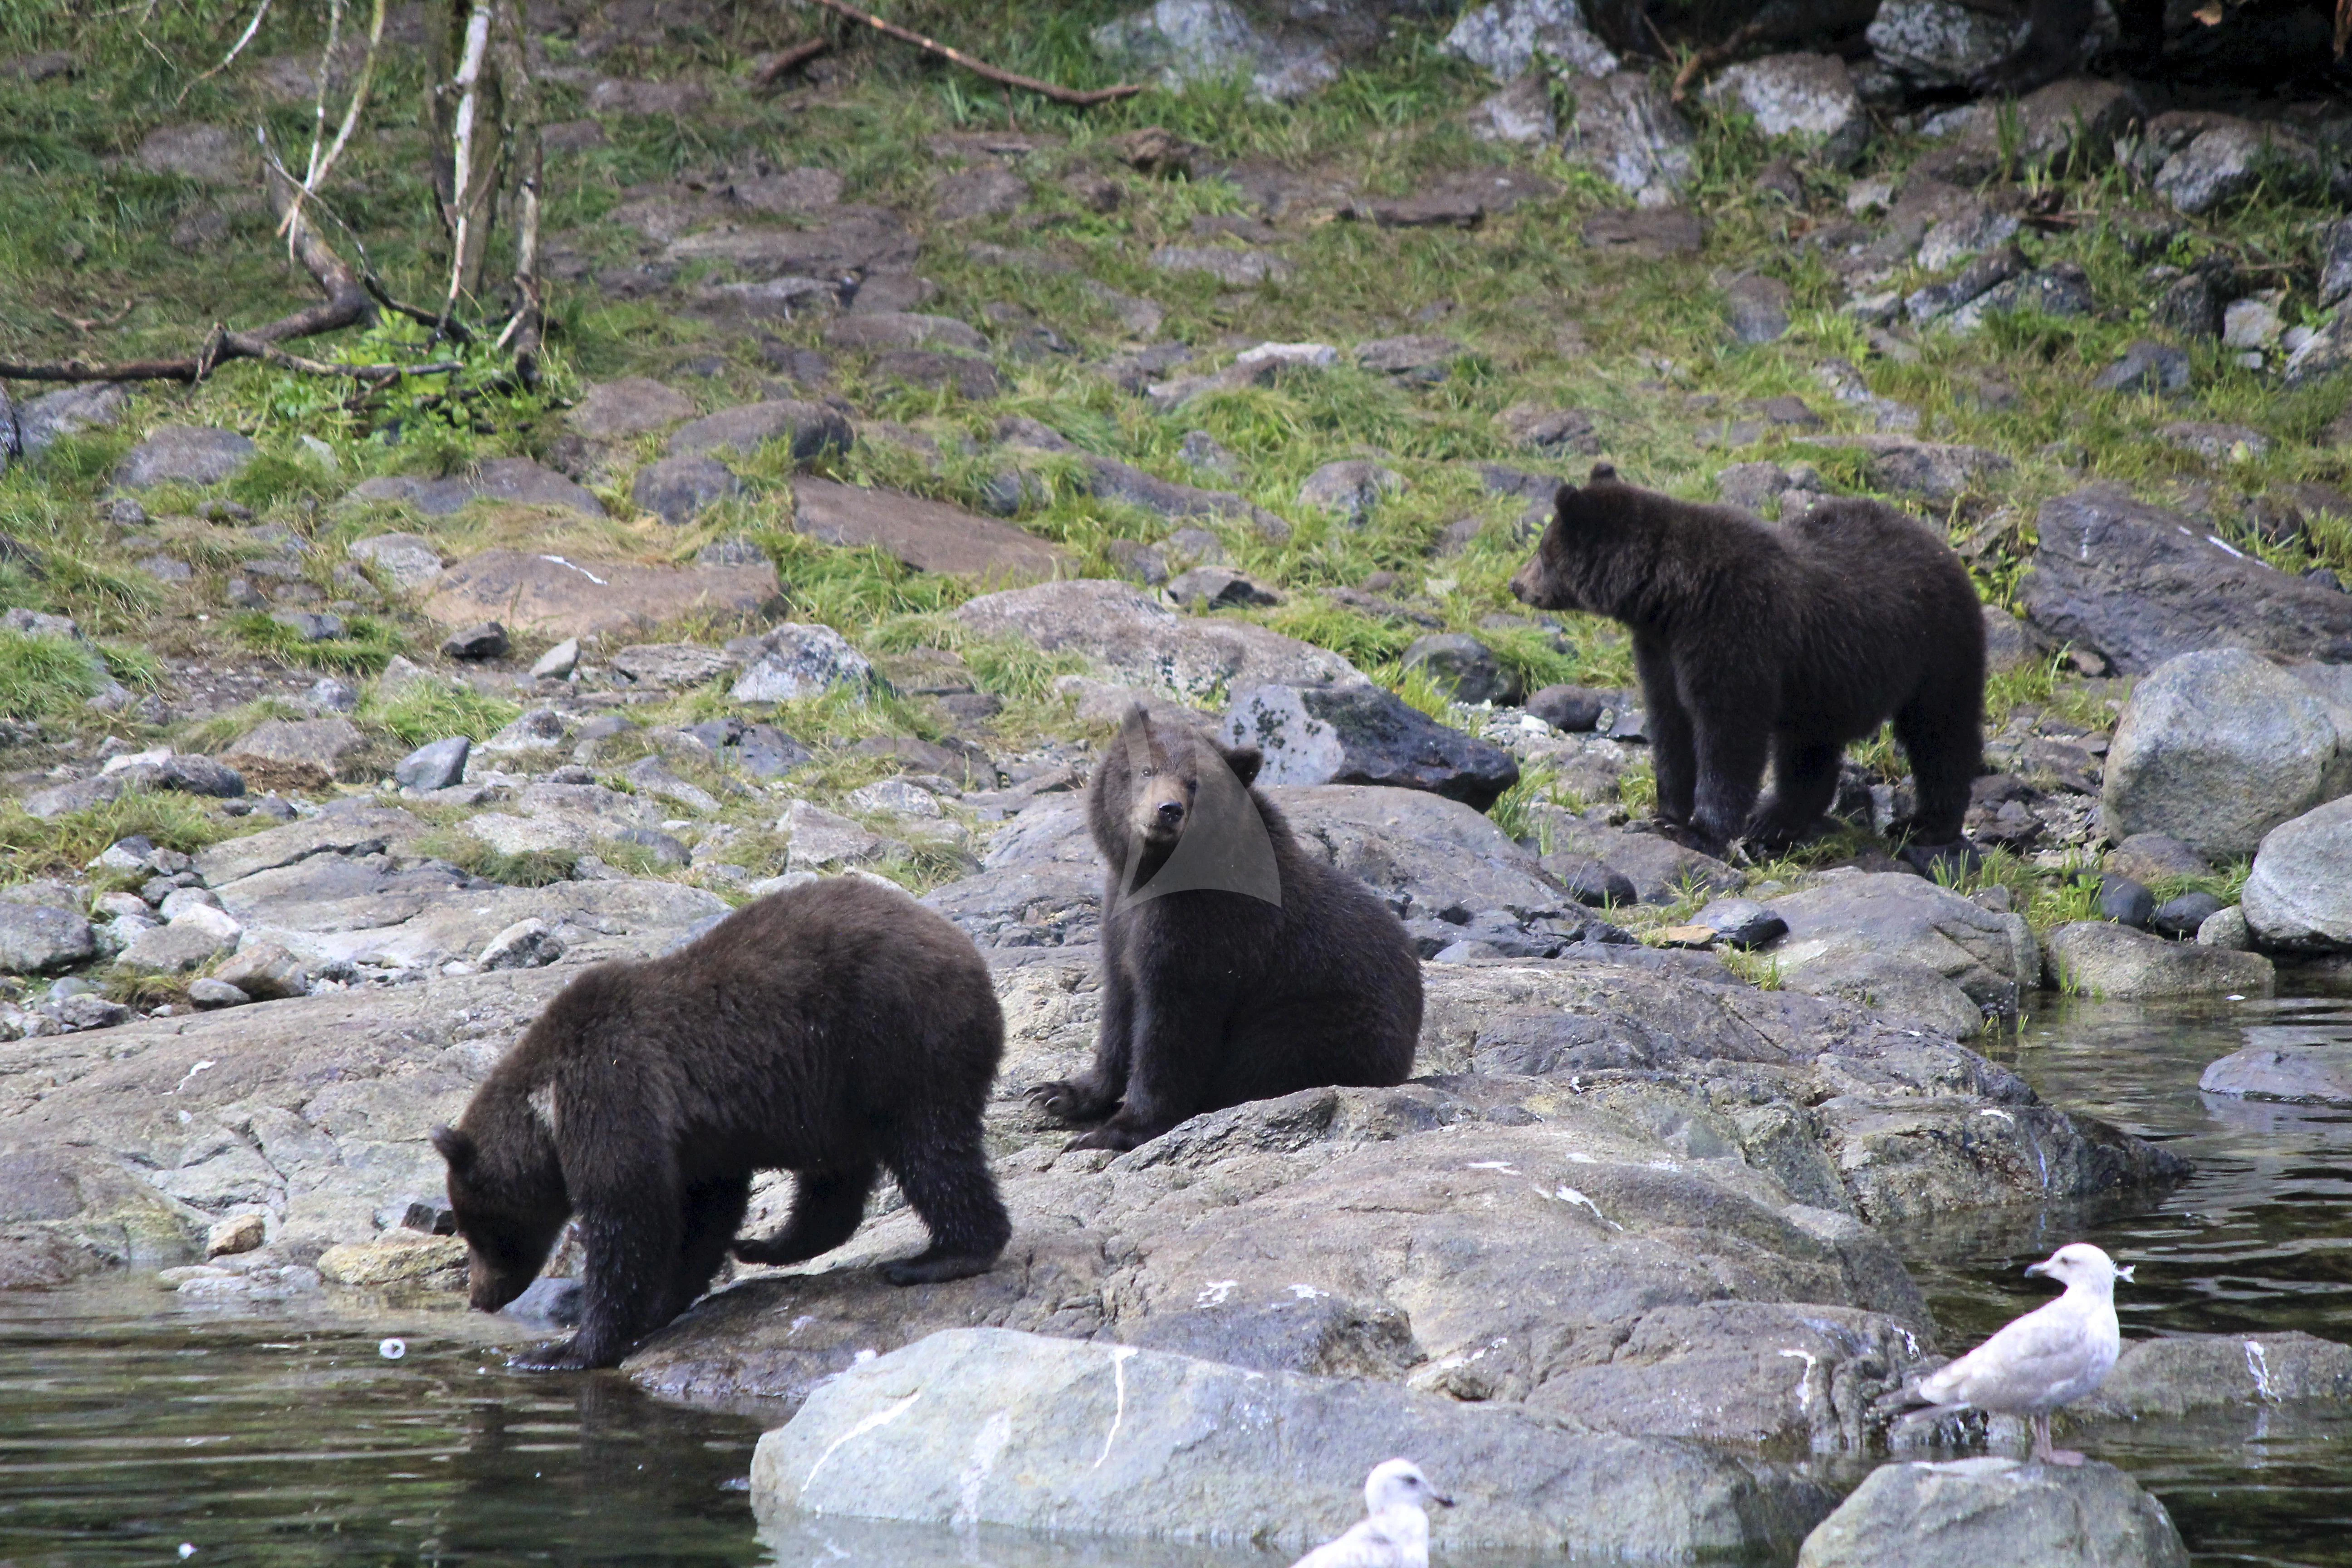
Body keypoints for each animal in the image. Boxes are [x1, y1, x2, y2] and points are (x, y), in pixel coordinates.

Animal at [429, 876, 1010, 1370]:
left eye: (472, 1226)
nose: (480, 1297)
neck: (546, 1114)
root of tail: (972, 959)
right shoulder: (696, 1144)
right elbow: (704, 1215)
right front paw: (662, 1304)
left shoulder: (613, 1093)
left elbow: (630, 1217)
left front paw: (565, 1349)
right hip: (840, 1091)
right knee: (838, 1178)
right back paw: (769, 1245)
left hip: (897, 1042)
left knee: (931, 1152)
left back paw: (944, 1256)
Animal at [1028, 706, 1423, 1154]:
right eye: (1146, 769)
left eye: (1195, 783)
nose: (1167, 809)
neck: (1157, 875)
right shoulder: (1121, 918)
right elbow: (1119, 1005)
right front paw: (1059, 1092)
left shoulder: (1207, 932)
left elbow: (1171, 1027)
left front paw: (1117, 1129)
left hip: (1321, 1024)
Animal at [1509, 464, 1984, 858]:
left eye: (1544, 551)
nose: (1516, 584)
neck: (1670, 598)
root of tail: (1943, 548)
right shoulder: (1662, 651)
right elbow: (1670, 724)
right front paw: (1666, 814)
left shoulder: (1735, 629)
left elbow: (1728, 732)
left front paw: (1702, 830)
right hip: (1825, 682)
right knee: (1809, 748)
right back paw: (1775, 821)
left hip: (1937, 651)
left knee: (1940, 733)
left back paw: (1926, 824)